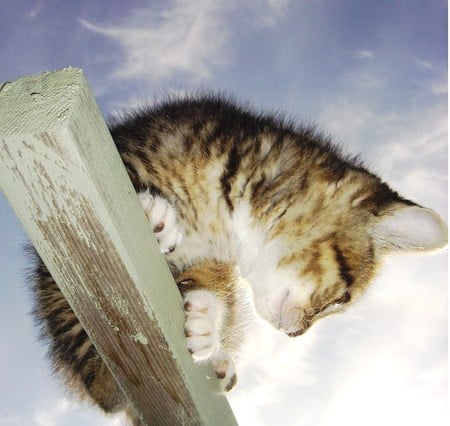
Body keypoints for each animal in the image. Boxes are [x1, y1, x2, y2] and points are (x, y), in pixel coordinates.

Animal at [29, 95, 448, 424]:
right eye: (342, 297)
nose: (298, 334)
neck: (227, 212)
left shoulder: (217, 255)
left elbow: (211, 279)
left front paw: (205, 316)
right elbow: (104, 377)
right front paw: (152, 210)